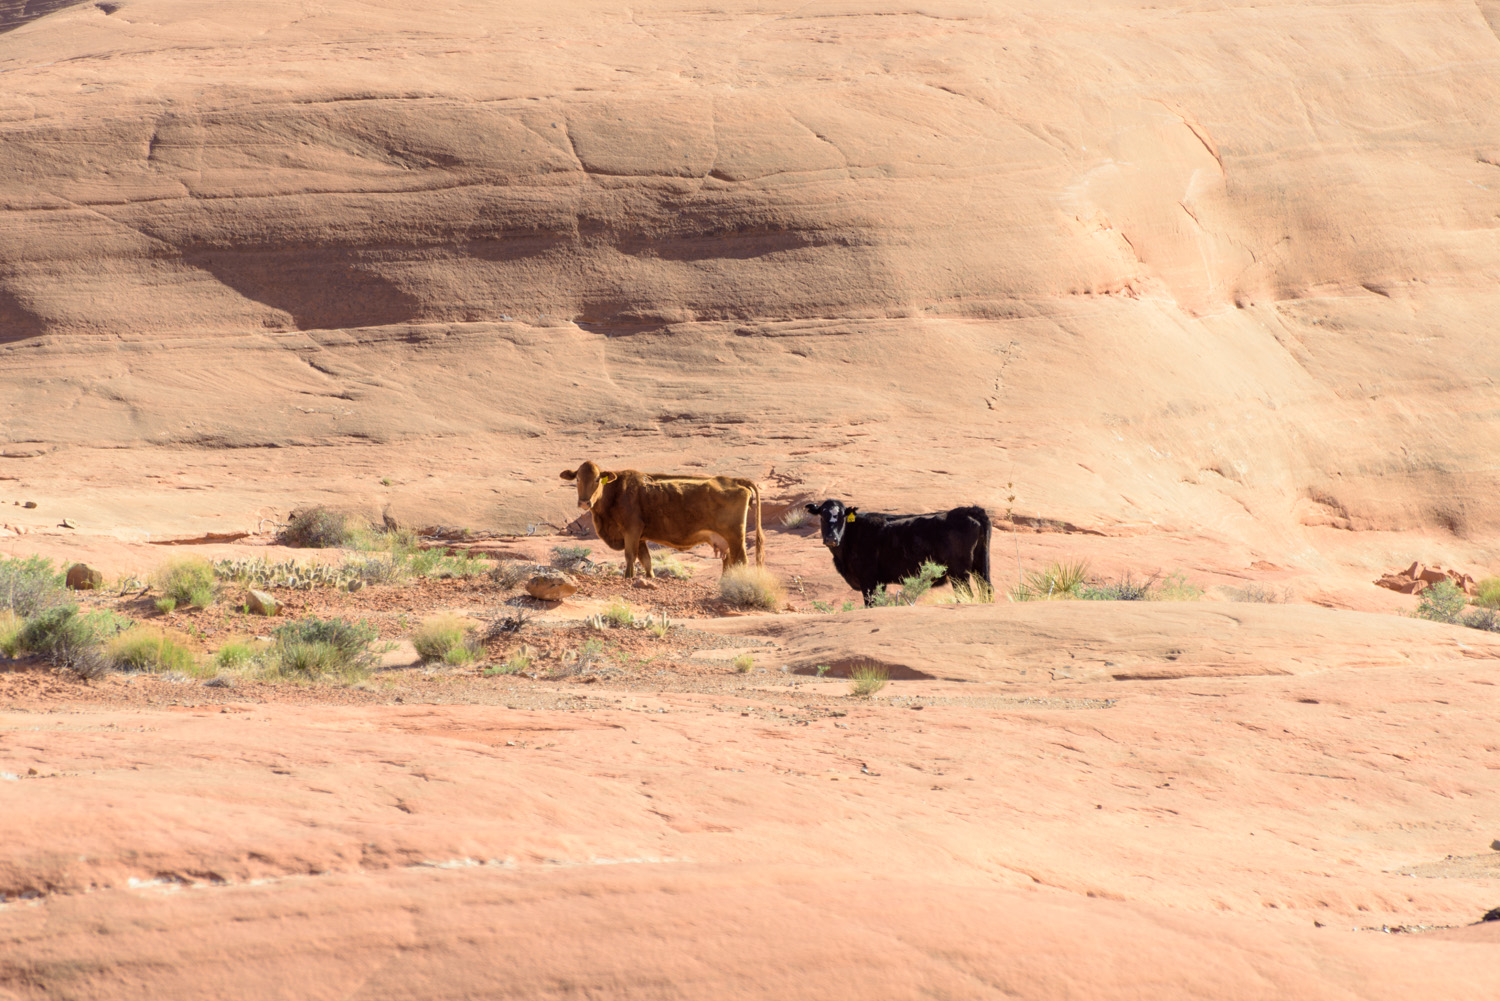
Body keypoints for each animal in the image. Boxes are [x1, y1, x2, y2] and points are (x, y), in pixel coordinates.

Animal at [560, 461, 764, 578]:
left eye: (597, 479)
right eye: (577, 478)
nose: (584, 502)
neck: (616, 490)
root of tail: (735, 480)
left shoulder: (631, 531)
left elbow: (630, 557)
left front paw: (628, 577)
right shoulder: (640, 538)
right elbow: (646, 561)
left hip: (735, 538)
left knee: (741, 561)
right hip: (725, 541)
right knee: (729, 562)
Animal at [804, 498, 991, 606]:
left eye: (843, 516)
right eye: (822, 516)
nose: (831, 538)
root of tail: (968, 510)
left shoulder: (869, 580)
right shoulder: (880, 582)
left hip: (959, 572)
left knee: (967, 594)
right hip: (980, 565)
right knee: (987, 589)